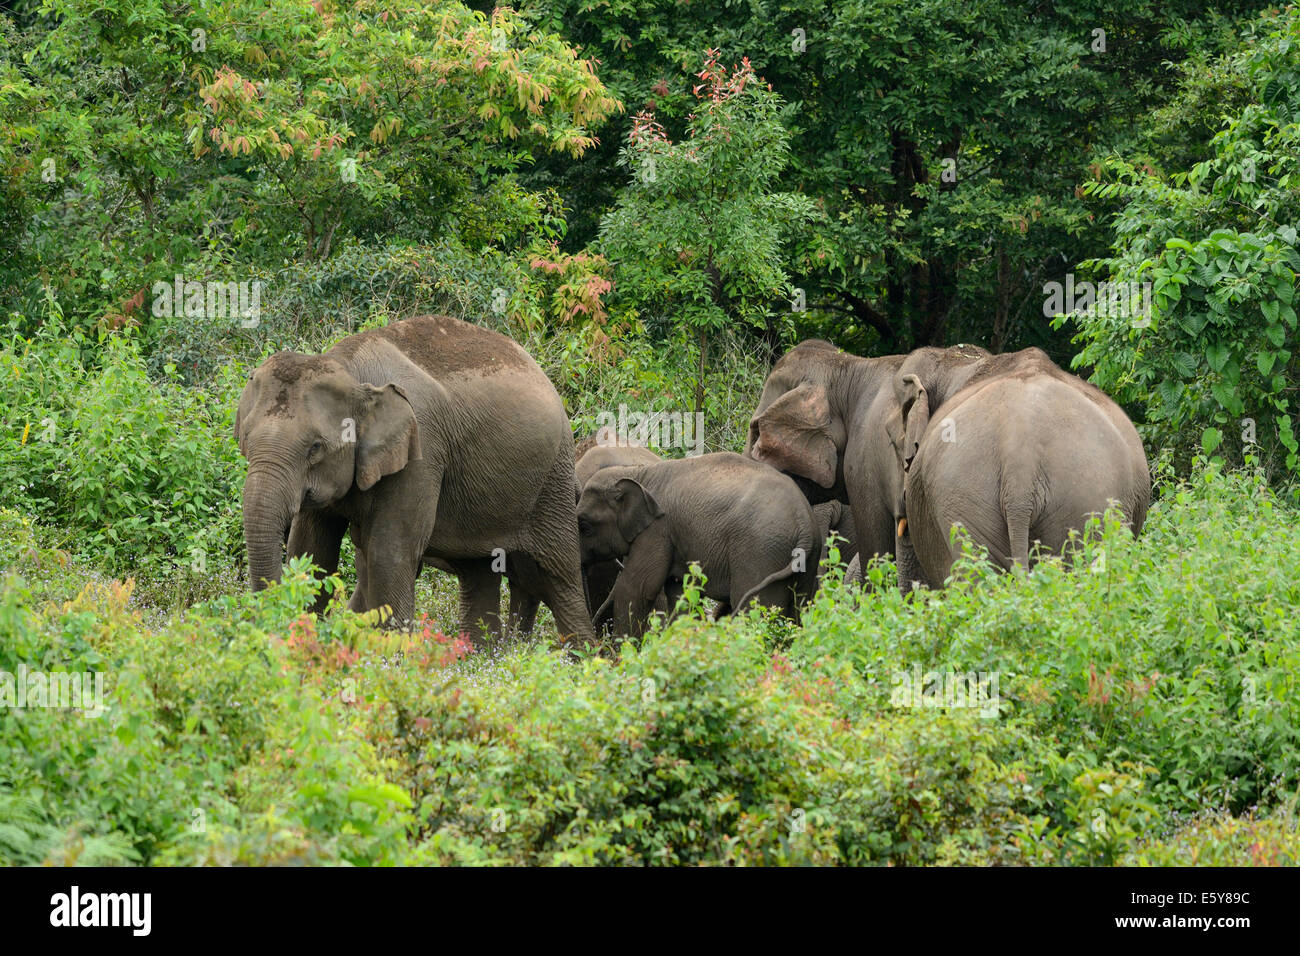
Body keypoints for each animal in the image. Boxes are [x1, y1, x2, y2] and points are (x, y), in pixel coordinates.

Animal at [234, 313, 594, 647]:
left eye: (315, 447)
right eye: (246, 438)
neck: (350, 371)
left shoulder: (421, 451)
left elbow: (389, 551)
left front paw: (389, 657)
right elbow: (310, 548)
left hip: (553, 479)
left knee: (558, 574)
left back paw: (581, 658)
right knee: (478, 571)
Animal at [576, 452, 820, 638]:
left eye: (585, 527)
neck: (638, 473)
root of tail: (804, 520)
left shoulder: (658, 530)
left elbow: (637, 588)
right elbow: (681, 592)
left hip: (761, 551)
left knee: (754, 607)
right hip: (803, 555)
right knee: (799, 607)